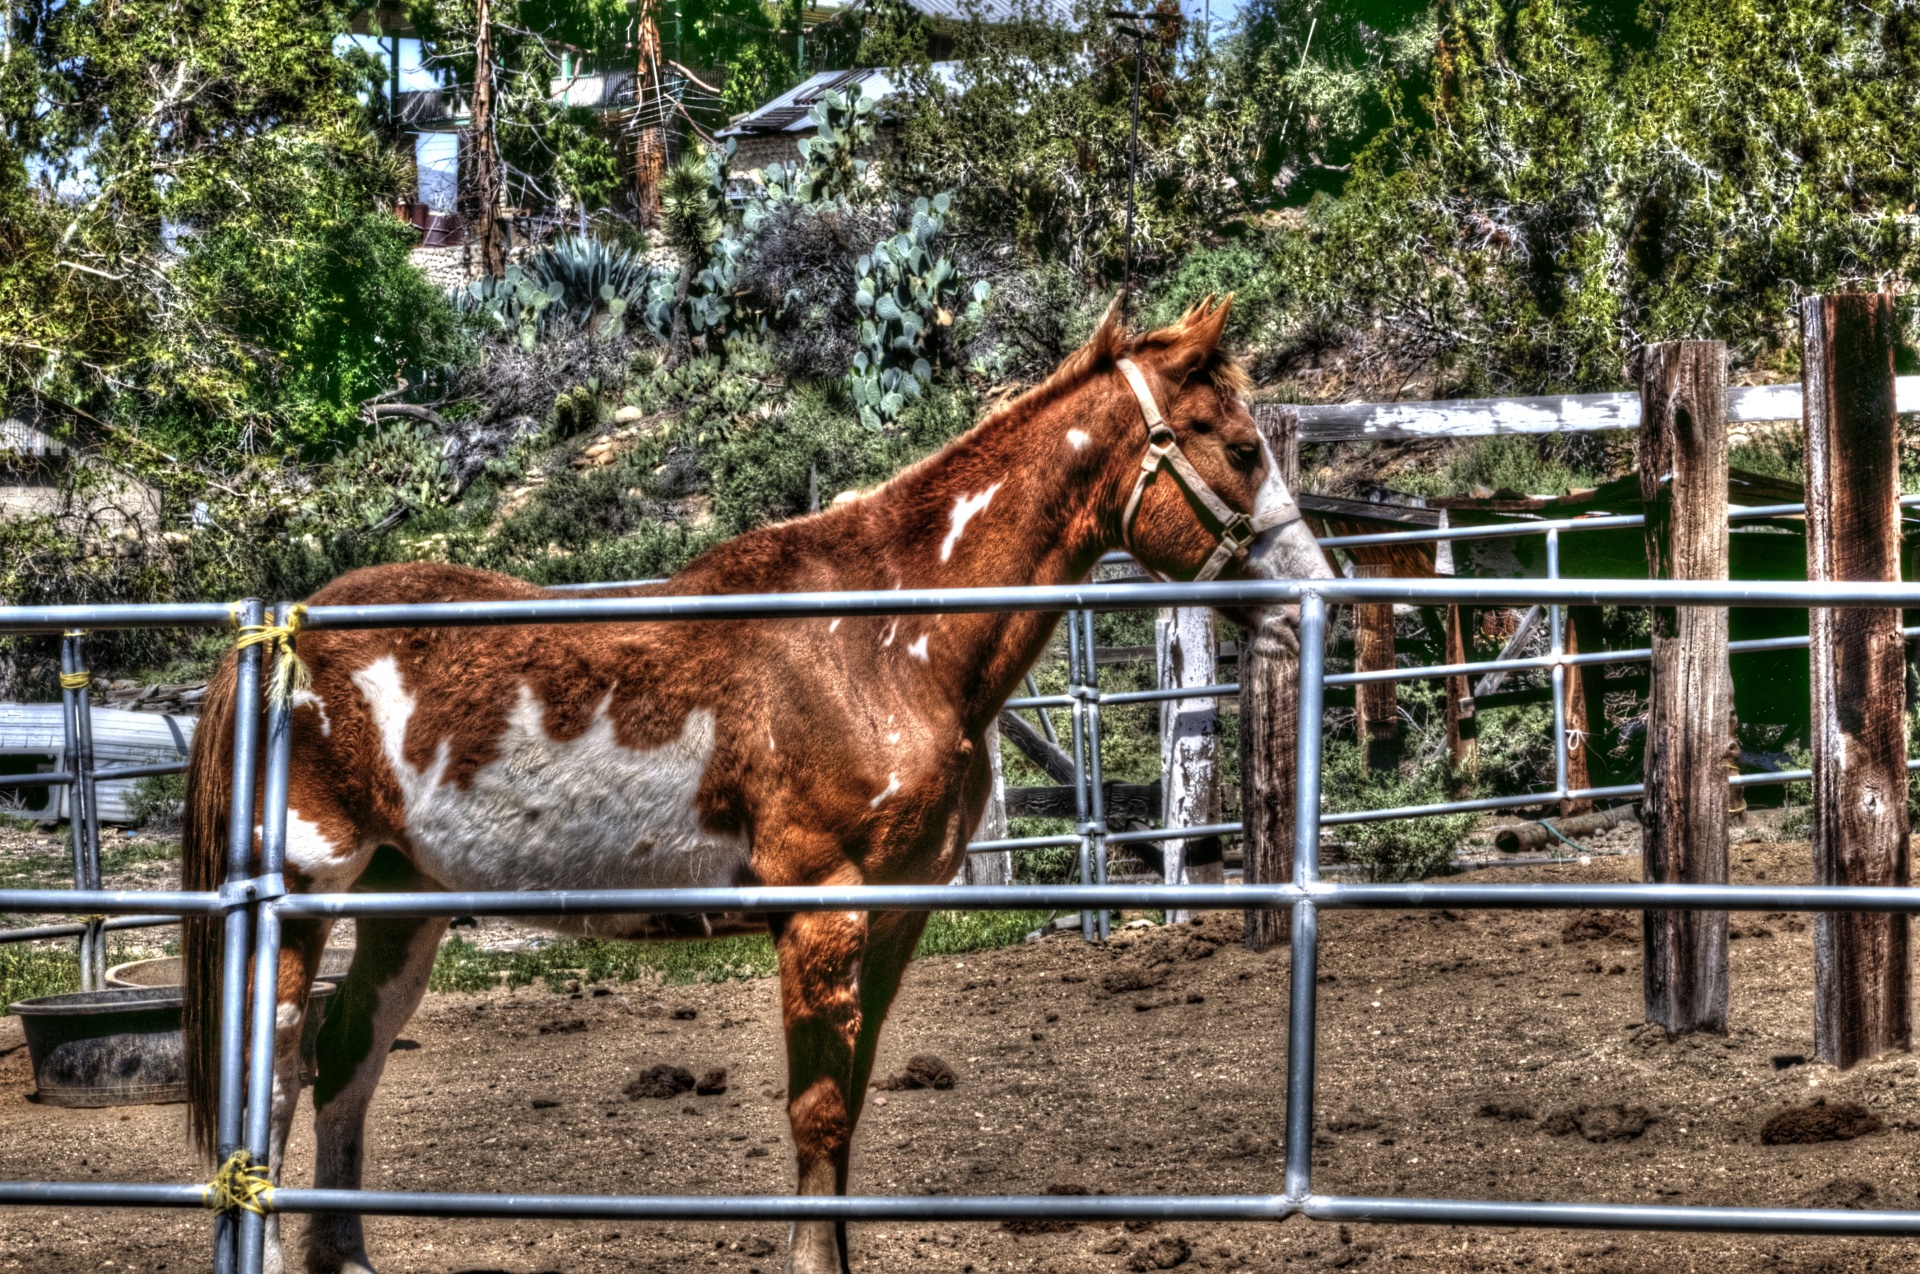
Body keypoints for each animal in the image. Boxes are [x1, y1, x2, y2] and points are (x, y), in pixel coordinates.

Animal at [180, 293, 1336, 1266]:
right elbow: (816, 1113)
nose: (1313, 597)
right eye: (1241, 447)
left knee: (344, 1061)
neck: (882, 640)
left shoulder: (896, 912)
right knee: (274, 1076)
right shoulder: (820, 908)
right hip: (303, 899)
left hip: (404, 902)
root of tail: (282, 632)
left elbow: (848, 1107)